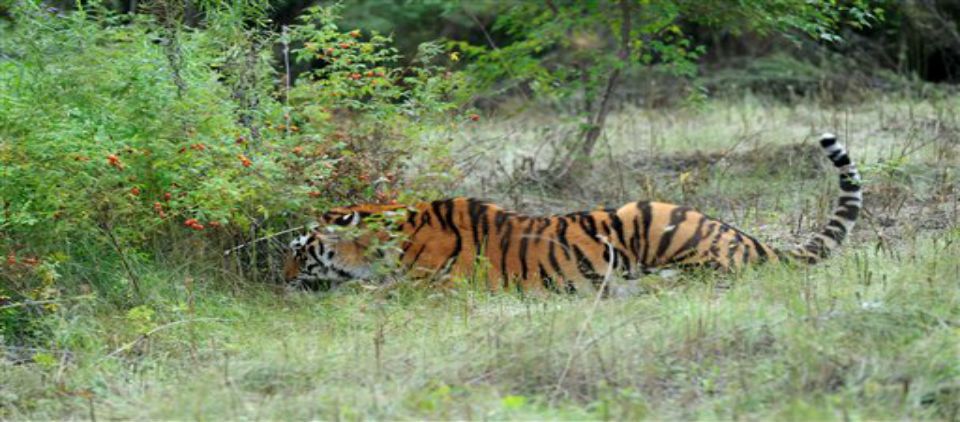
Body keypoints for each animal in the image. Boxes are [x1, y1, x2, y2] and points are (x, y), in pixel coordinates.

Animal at [284, 134, 862, 294]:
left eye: (300, 250)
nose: (281, 278)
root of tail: (749, 237)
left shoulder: (432, 291)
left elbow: (372, 296)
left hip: (657, 225)